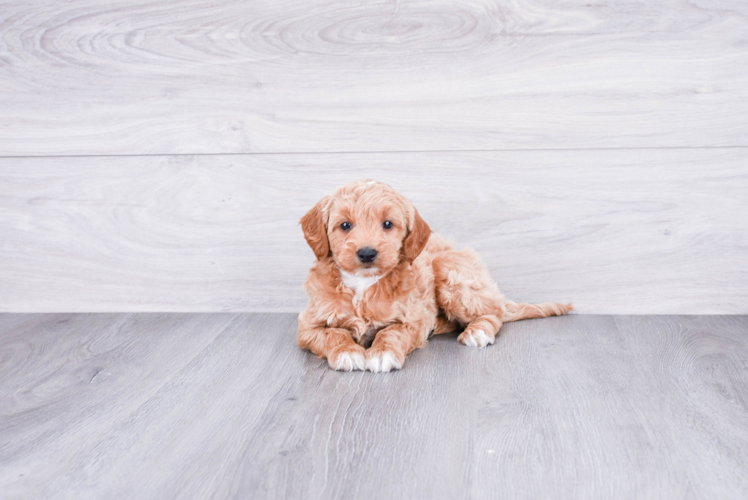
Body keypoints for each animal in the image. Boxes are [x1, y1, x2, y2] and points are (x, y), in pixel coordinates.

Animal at [298, 180, 572, 372]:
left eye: (387, 224)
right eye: (345, 225)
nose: (367, 253)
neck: (363, 284)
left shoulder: (414, 320)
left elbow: (391, 332)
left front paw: (382, 353)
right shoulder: (307, 327)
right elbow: (333, 333)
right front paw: (347, 351)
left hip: (447, 269)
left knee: (494, 313)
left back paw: (477, 331)